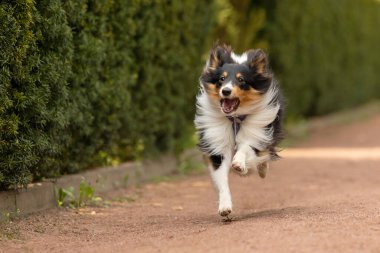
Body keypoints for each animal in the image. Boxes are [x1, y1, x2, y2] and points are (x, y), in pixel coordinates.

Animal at [194, 44, 284, 217]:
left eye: (241, 80)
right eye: (221, 79)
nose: (226, 91)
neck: (235, 119)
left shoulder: (258, 133)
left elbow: (246, 147)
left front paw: (238, 163)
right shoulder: (218, 148)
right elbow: (222, 180)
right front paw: (225, 207)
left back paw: (259, 169)